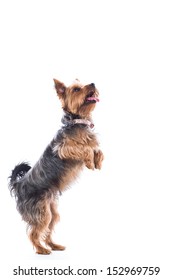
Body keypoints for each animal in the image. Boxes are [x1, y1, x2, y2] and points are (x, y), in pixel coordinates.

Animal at [8, 78, 103, 254]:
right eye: (77, 89)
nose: (93, 83)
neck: (77, 120)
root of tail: (19, 184)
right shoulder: (64, 148)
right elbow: (84, 149)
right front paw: (89, 161)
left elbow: (97, 149)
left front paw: (97, 161)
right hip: (41, 211)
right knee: (34, 232)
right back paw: (42, 250)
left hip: (51, 211)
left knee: (47, 230)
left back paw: (54, 245)